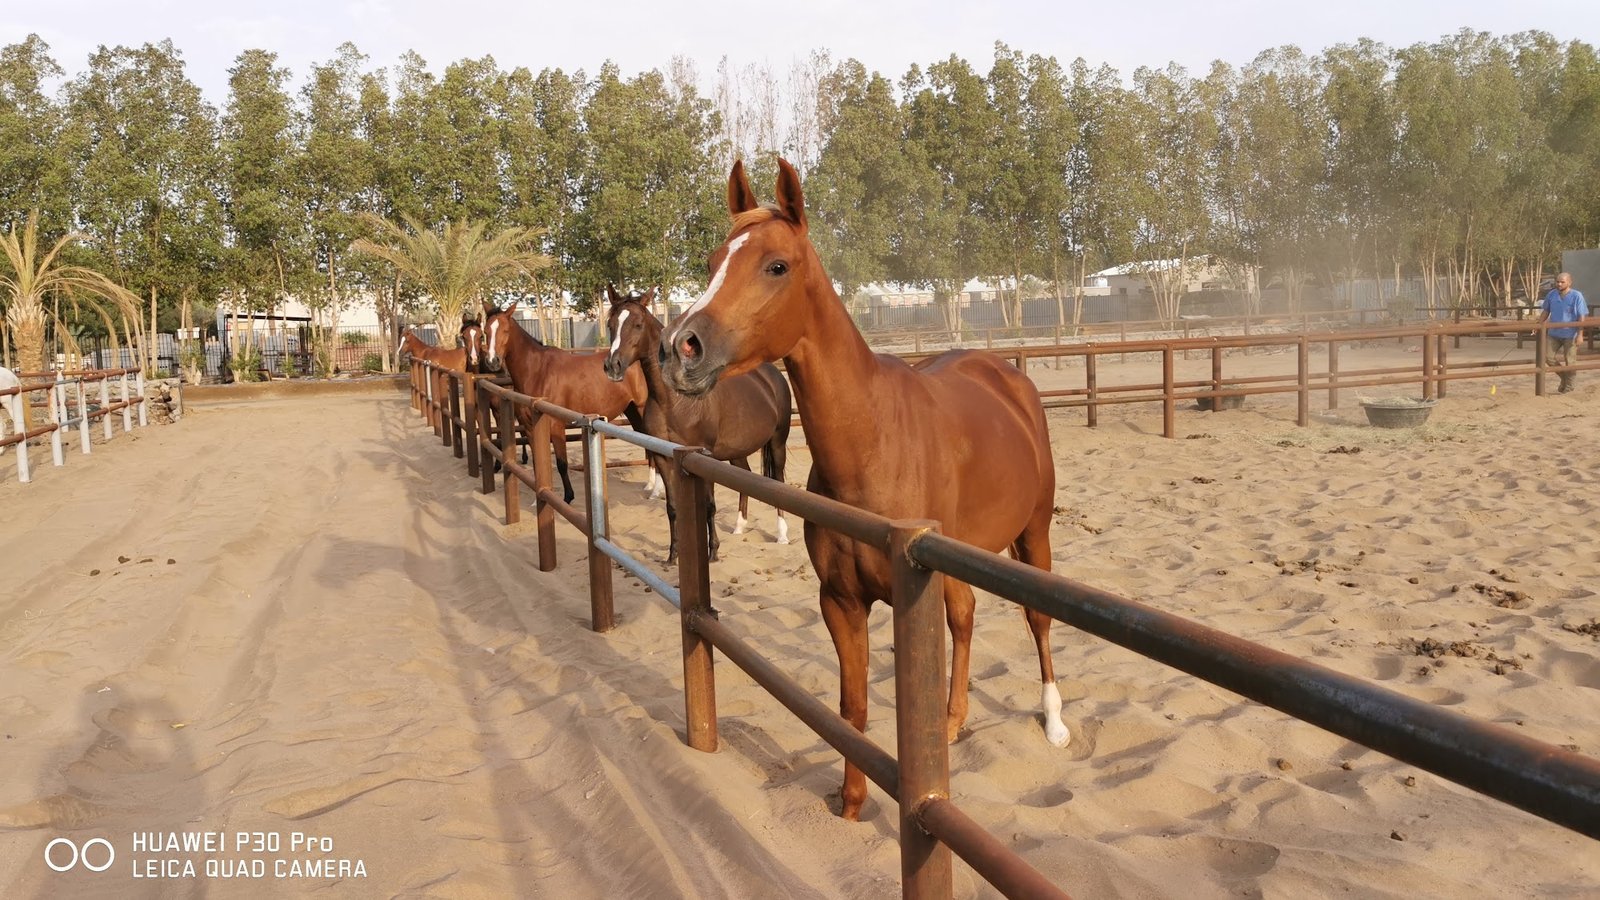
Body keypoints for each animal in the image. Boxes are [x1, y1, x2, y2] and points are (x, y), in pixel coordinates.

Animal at [481, 302, 651, 504]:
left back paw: (653, 488)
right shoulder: (530, 428)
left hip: (642, 409)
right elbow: (539, 463)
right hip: (633, 411)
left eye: (505, 330)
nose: (492, 361)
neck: (538, 371)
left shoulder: (556, 425)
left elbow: (562, 463)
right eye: (485, 331)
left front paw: (568, 497)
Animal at [602, 284, 791, 564]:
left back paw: (782, 535)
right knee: (744, 476)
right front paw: (673, 554)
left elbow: (709, 506)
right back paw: (739, 526)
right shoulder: (664, 458)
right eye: (610, 324)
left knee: (778, 481)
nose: (612, 366)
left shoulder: (704, 457)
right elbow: (672, 507)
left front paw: (713, 552)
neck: (674, 402)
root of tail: (772, 375)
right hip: (737, 452)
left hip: (778, 443)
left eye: (637, 324)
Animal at [661, 159, 1064, 821]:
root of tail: (1006, 376)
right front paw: (850, 803)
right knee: (965, 619)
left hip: (1034, 534)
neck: (873, 444)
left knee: (1037, 618)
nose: (680, 349)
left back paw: (1054, 720)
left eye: (777, 265)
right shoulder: (840, 601)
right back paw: (954, 720)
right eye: (715, 257)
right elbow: (854, 707)